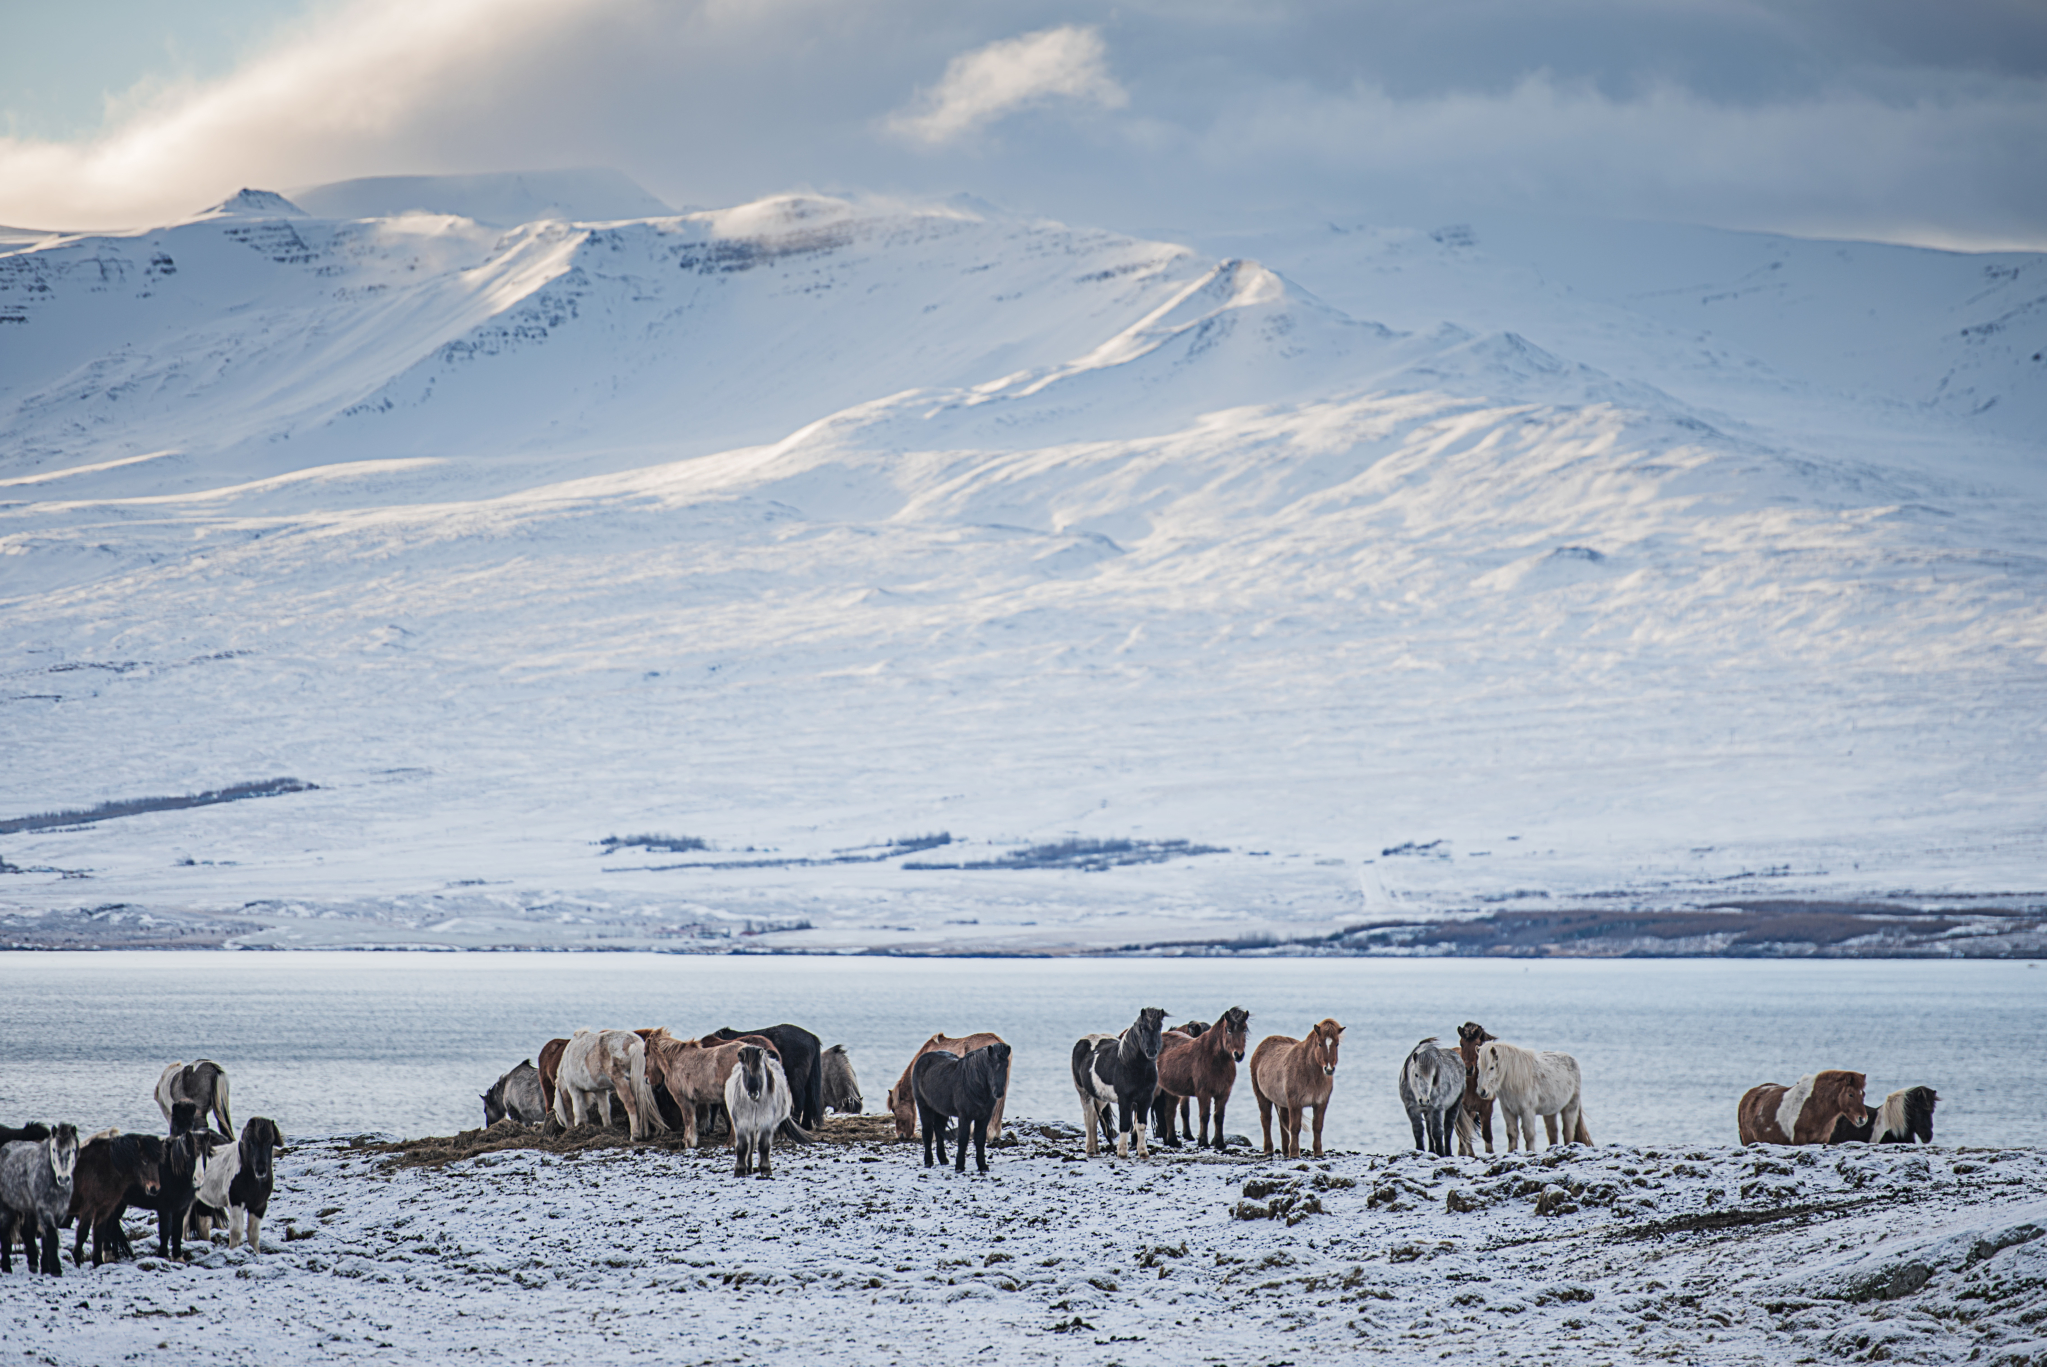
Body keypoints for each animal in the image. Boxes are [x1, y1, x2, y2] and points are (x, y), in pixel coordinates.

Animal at [917, 1039, 1011, 1170]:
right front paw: (959, 1166)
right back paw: (928, 1162)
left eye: (1006, 1065)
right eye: (991, 1065)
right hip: (924, 1107)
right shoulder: (964, 1116)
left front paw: (982, 1166)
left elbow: (980, 1140)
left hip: (941, 1111)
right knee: (928, 1133)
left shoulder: (984, 1117)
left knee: (939, 1131)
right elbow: (963, 1139)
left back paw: (943, 1160)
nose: (998, 1092)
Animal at [1072, 1010, 1170, 1162]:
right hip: (1084, 1093)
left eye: (1159, 1027)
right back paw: (1090, 1150)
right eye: (1142, 1028)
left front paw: (1143, 1152)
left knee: (1094, 1117)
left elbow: (1141, 1125)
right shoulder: (1125, 1100)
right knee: (1088, 1117)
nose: (1151, 1051)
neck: (1131, 1065)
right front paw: (1122, 1153)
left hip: (1100, 1097)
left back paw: (1096, 1149)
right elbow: (1125, 1124)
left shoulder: (1146, 1099)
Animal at [1154, 1002, 1244, 1145]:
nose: (1238, 1055)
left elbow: (1212, 1115)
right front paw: (1201, 1140)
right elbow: (1198, 1114)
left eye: (1244, 1030)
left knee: (1167, 1111)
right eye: (1228, 1030)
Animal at [1244, 1019, 1342, 1162]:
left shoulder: (1321, 1103)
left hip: (1282, 1102)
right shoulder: (1295, 1103)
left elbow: (1317, 1127)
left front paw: (1318, 1152)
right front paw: (1295, 1153)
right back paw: (1269, 1150)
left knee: (1283, 1121)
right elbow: (1295, 1127)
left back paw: (1285, 1151)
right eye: (1319, 1044)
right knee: (1266, 1119)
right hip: (1262, 1096)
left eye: (1337, 1044)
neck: (1310, 1072)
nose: (1329, 1069)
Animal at [1735, 1064, 1866, 1145]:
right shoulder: (1799, 1140)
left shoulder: (1822, 1140)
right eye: (1850, 1094)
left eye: (1863, 1094)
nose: (1862, 1119)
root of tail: (1747, 1097)